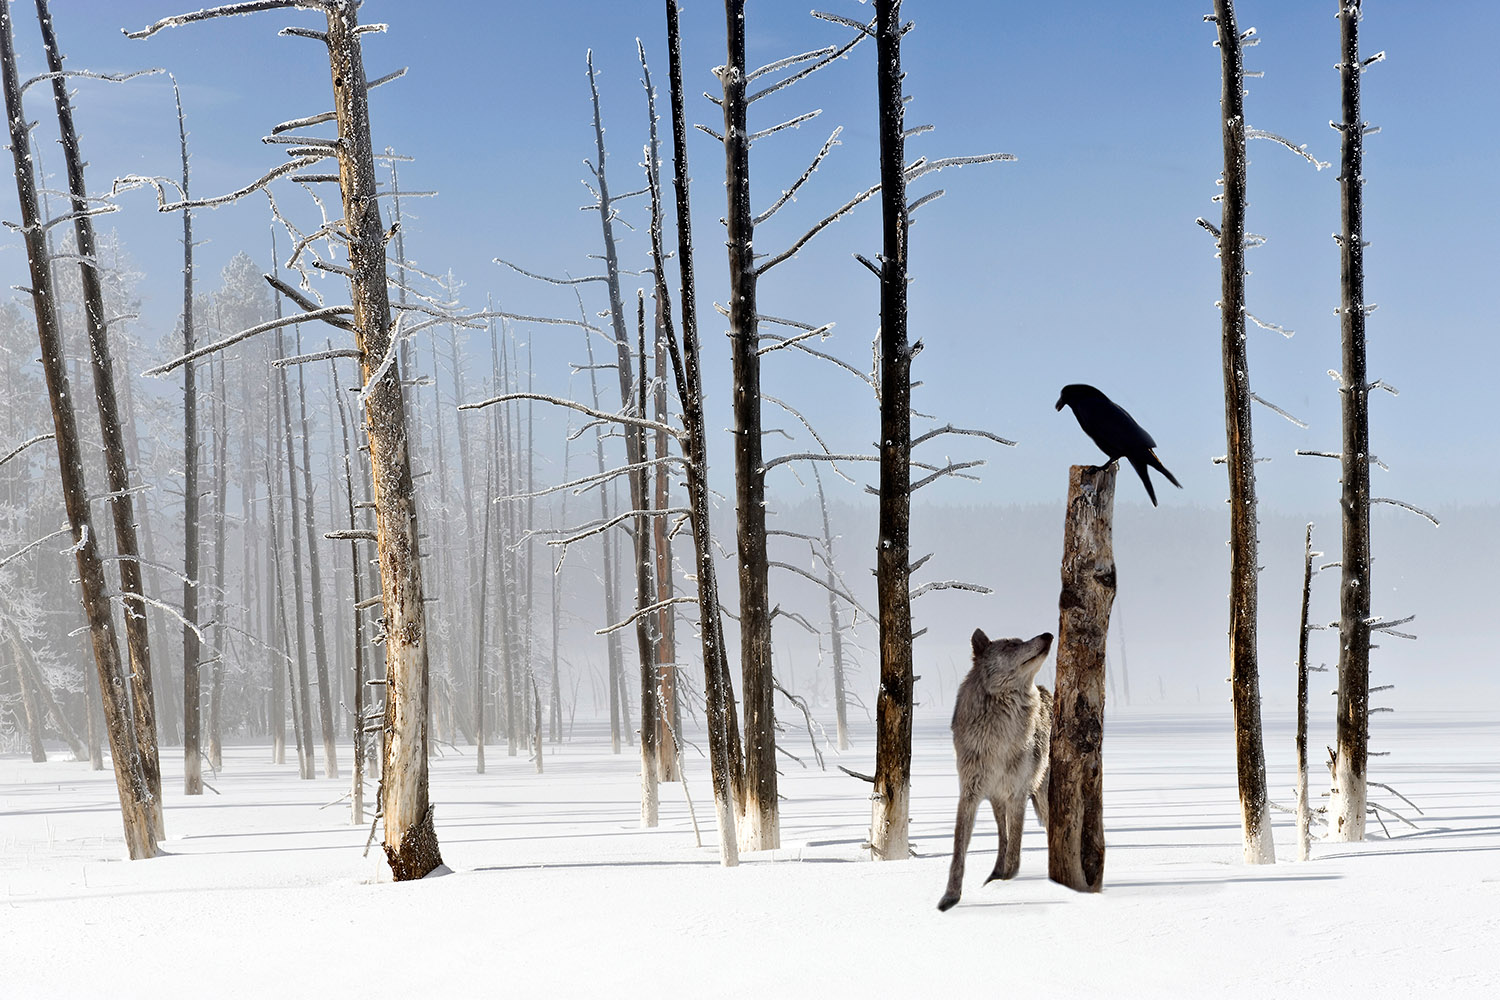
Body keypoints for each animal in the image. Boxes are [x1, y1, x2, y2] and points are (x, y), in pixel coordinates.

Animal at [937, 628, 1053, 912]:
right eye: (1012, 645)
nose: (1048, 634)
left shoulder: (1017, 795)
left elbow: (1016, 851)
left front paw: (1006, 884)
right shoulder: (969, 794)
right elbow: (958, 852)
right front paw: (950, 898)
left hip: (1041, 797)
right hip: (996, 801)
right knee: (1003, 837)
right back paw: (995, 873)